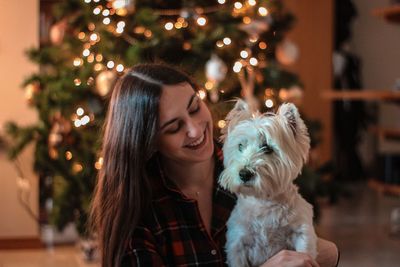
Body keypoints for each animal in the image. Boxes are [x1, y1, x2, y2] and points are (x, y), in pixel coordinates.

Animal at [219, 100, 316, 267]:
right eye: (240, 146)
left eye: (267, 148)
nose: (244, 174)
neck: (264, 203)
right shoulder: (237, 245)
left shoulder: (302, 232)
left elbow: (304, 249)